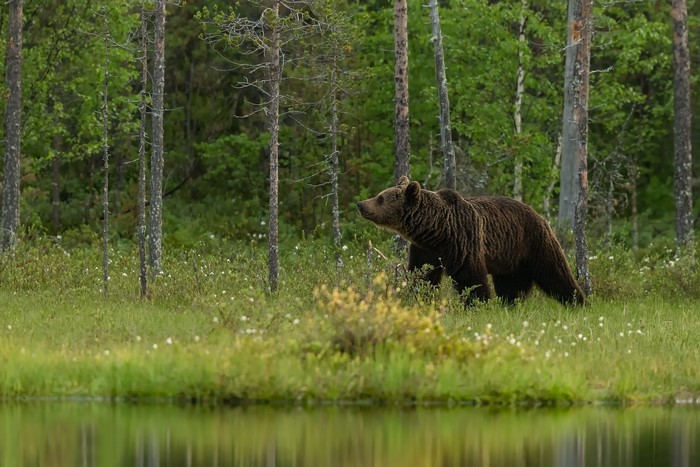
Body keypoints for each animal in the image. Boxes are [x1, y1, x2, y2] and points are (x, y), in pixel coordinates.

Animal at [357, 176, 585, 306]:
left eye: (380, 198)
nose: (361, 203)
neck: (436, 229)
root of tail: (539, 214)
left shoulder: (462, 242)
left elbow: (470, 277)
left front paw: (477, 303)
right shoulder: (425, 249)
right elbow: (422, 274)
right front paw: (419, 297)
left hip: (533, 241)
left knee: (554, 271)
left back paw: (578, 301)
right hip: (509, 257)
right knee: (510, 284)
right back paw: (509, 304)